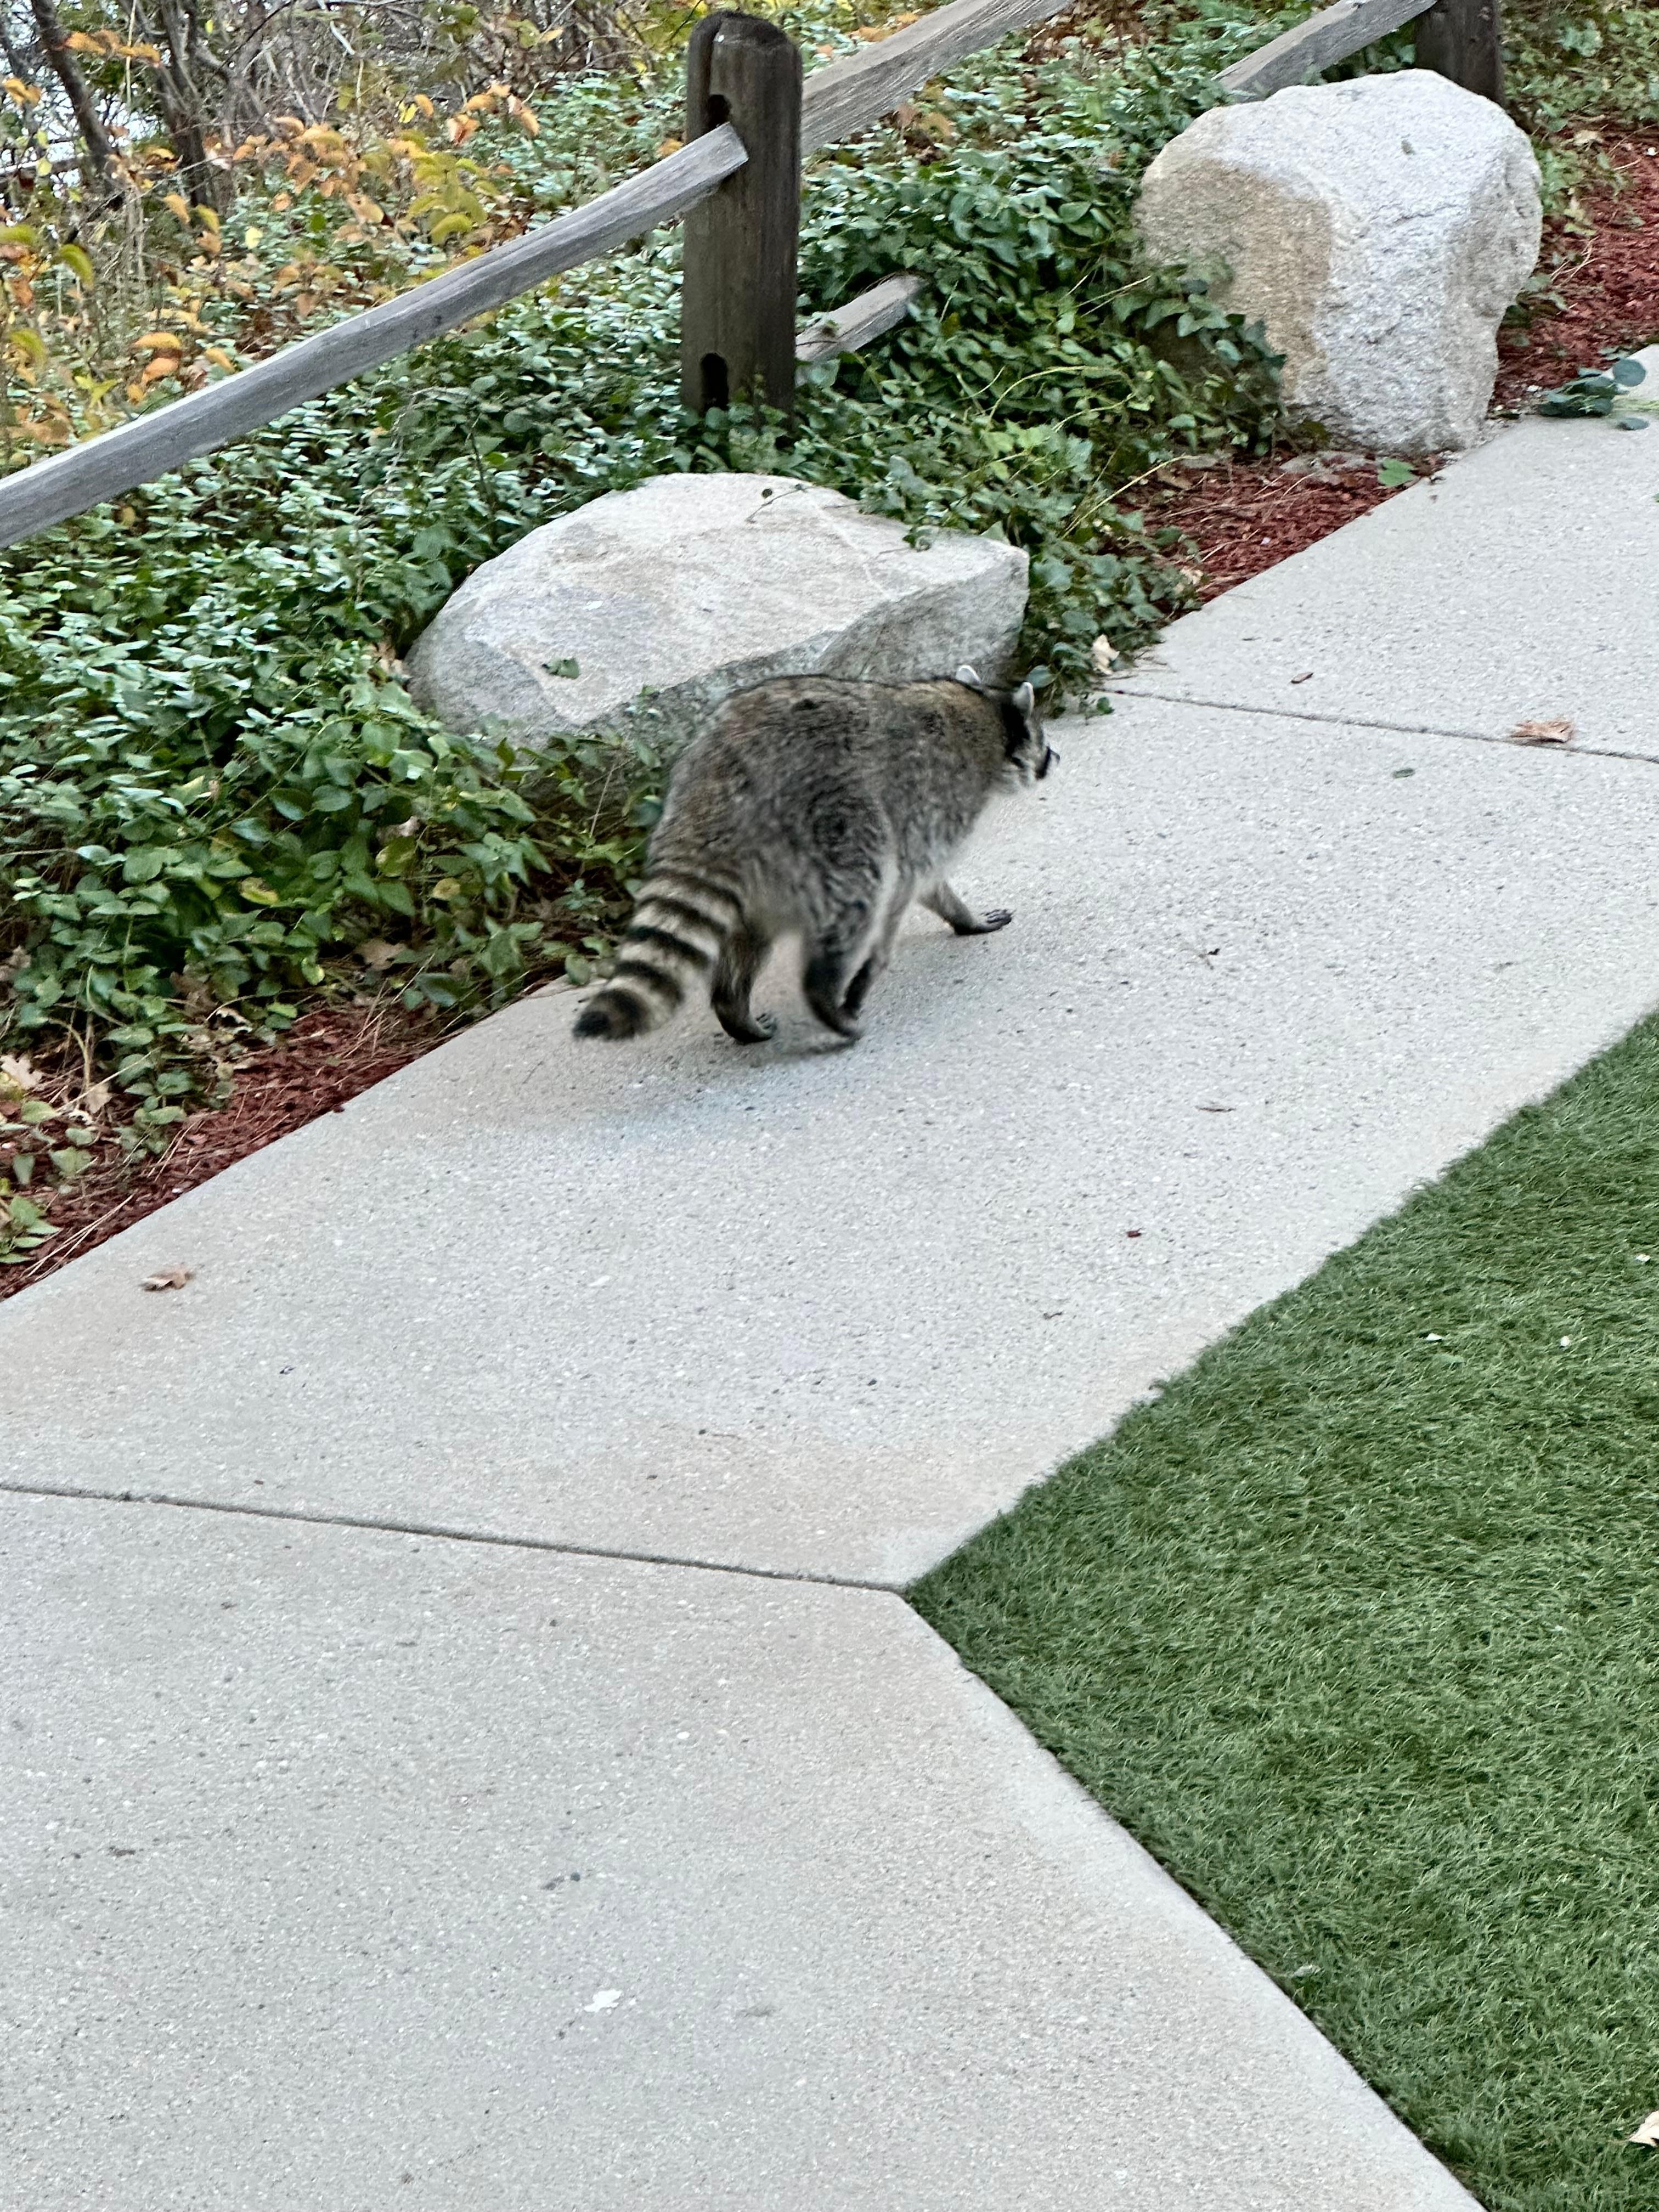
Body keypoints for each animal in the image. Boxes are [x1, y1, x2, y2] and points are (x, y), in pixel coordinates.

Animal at [572, 666, 1053, 1046]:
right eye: (1044, 743)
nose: (1055, 759)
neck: (982, 713)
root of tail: (714, 781)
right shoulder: (937, 803)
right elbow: (910, 888)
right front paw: (941, 928)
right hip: (835, 824)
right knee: (859, 897)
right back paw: (824, 996)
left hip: (762, 866)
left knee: (748, 938)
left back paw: (733, 1008)